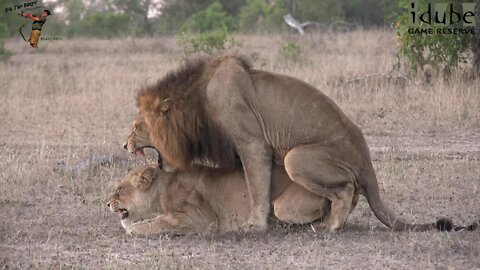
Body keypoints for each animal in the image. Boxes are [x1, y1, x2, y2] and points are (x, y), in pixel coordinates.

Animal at [108, 163, 334, 235]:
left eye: (118, 189)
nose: (108, 203)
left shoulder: (201, 219)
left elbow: (157, 223)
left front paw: (132, 229)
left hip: (283, 207)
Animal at [134, 55, 472, 232]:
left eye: (138, 127)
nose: (125, 146)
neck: (197, 101)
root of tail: (367, 161)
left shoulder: (251, 141)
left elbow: (255, 185)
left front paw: (254, 225)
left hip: (295, 158)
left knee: (347, 188)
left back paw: (329, 227)